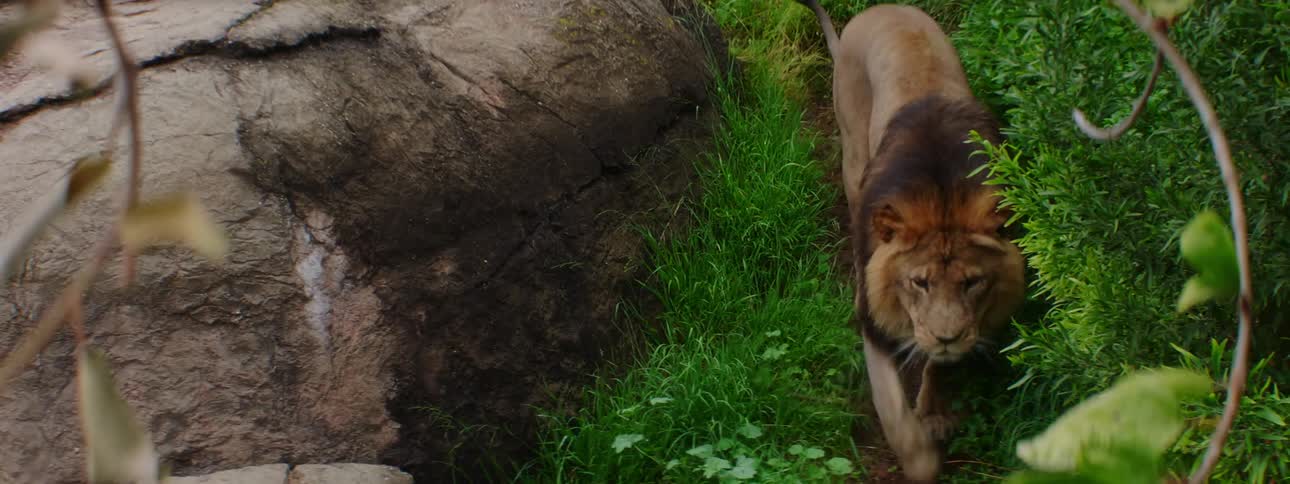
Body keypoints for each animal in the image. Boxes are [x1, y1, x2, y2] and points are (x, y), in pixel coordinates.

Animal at [793, 1, 1027, 480]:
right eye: (918, 282)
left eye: (973, 283)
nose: (947, 336)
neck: (942, 197)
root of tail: (882, 8)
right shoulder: (874, 324)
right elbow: (893, 411)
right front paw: (922, 457)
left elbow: (937, 368)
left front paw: (935, 412)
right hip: (852, 154)